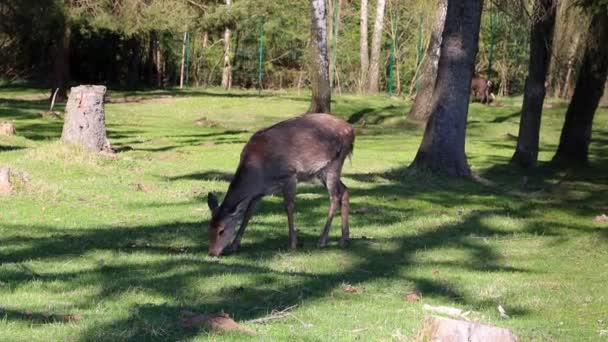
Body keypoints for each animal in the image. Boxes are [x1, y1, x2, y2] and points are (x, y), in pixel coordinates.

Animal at [207, 113, 354, 256]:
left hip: (334, 162)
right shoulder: (260, 191)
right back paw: (344, 238)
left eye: (221, 231)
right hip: (321, 172)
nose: (212, 252)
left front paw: (293, 244)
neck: (259, 173)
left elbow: (289, 207)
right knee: (344, 190)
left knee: (334, 197)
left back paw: (322, 240)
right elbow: (249, 213)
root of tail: (351, 130)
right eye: (209, 228)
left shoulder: (290, 175)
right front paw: (234, 245)